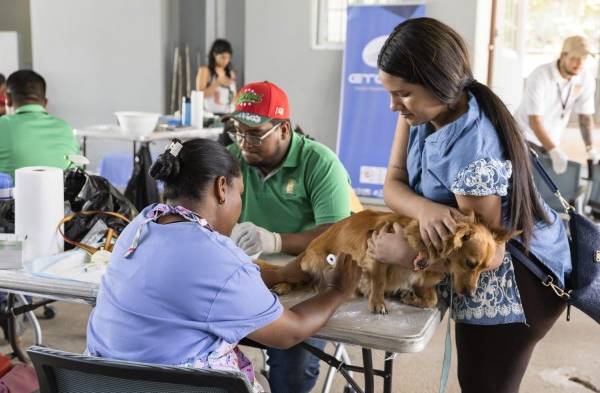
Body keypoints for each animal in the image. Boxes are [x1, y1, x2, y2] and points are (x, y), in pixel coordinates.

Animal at [260, 210, 512, 314]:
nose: (470, 294)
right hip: (312, 263)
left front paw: (410, 297)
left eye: (484, 269)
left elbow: (431, 300)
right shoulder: (375, 254)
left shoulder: (421, 281)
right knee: (296, 277)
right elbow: (379, 281)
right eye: (470, 263)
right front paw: (378, 303)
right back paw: (282, 285)